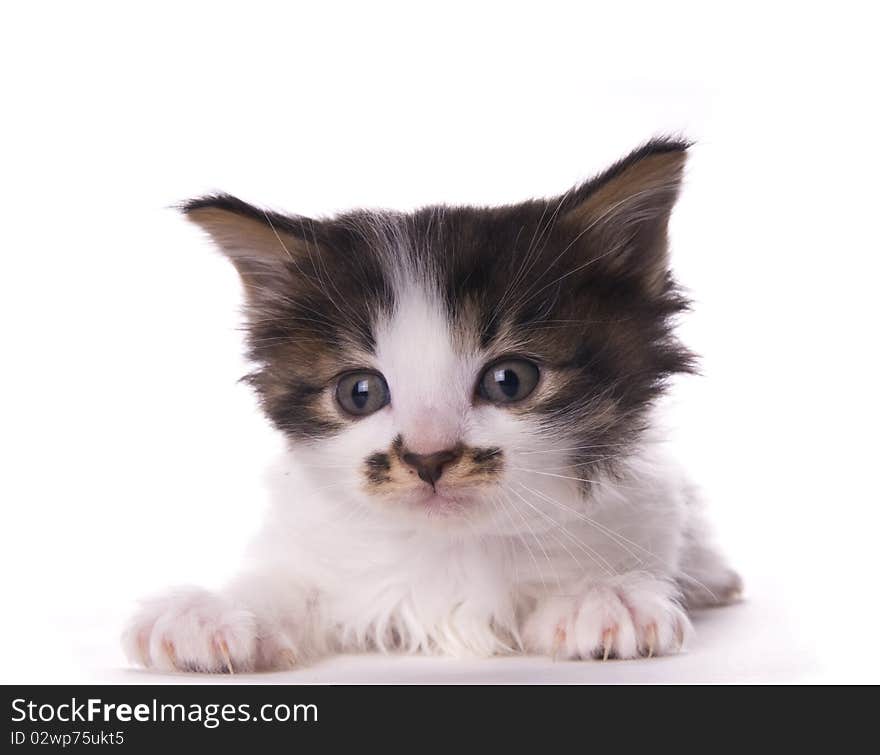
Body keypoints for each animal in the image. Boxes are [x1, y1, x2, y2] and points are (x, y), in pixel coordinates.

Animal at [125, 137, 744, 672]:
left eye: (510, 381)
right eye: (359, 392)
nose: (428, 458)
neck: (454, 548)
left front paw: (606, 594)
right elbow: (284, 582)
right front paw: (210, 612)